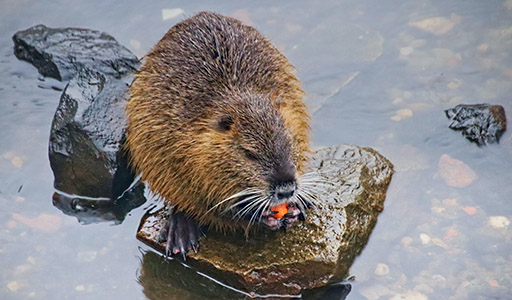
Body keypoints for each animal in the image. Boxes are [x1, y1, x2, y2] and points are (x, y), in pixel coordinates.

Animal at [125, 12, 316, 258]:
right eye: (249, 153)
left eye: (289, 143)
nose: (286, 189)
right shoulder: (170, 139)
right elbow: (203, 200)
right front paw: (259, 214)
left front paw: (295, 208)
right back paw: (179, 234)